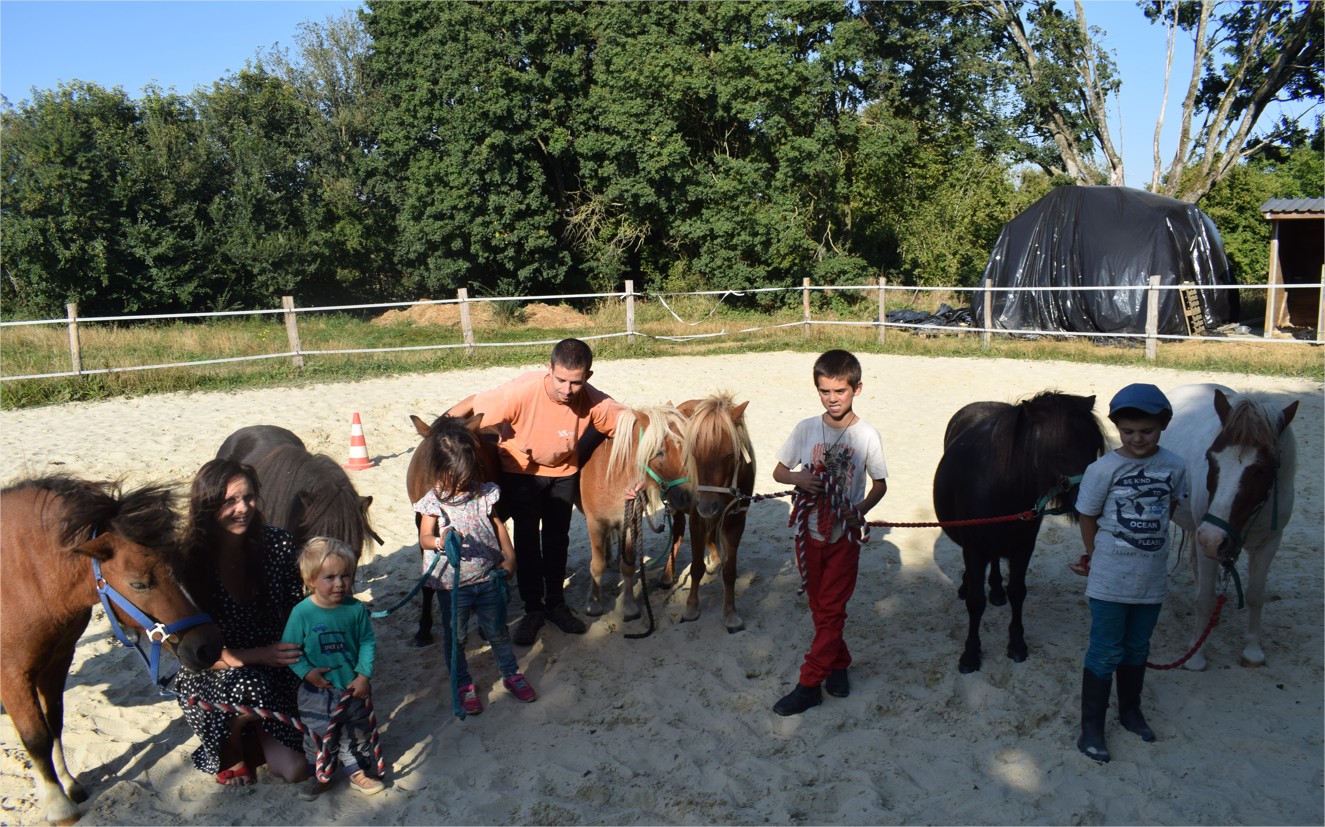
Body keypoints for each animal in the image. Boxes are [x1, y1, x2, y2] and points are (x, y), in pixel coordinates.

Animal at [932, 392, 1107, 673]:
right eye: (1057, 449)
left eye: (1095, 448)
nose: (1093, 504)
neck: (1003, 489)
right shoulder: (975, 549)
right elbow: (975, 601)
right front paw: (970, 653)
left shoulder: (1023, 548)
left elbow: (1017, 592)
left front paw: (1016, 644)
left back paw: (996, 590)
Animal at [1166, 384, 1298, 667]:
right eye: (1210, 458)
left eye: (1262, 470)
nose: (1213, 538)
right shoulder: (1207, 540)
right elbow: (1205, 599)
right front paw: (1196, 655)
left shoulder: (1269, 543)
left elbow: (1256, 595)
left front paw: (1252, 649)